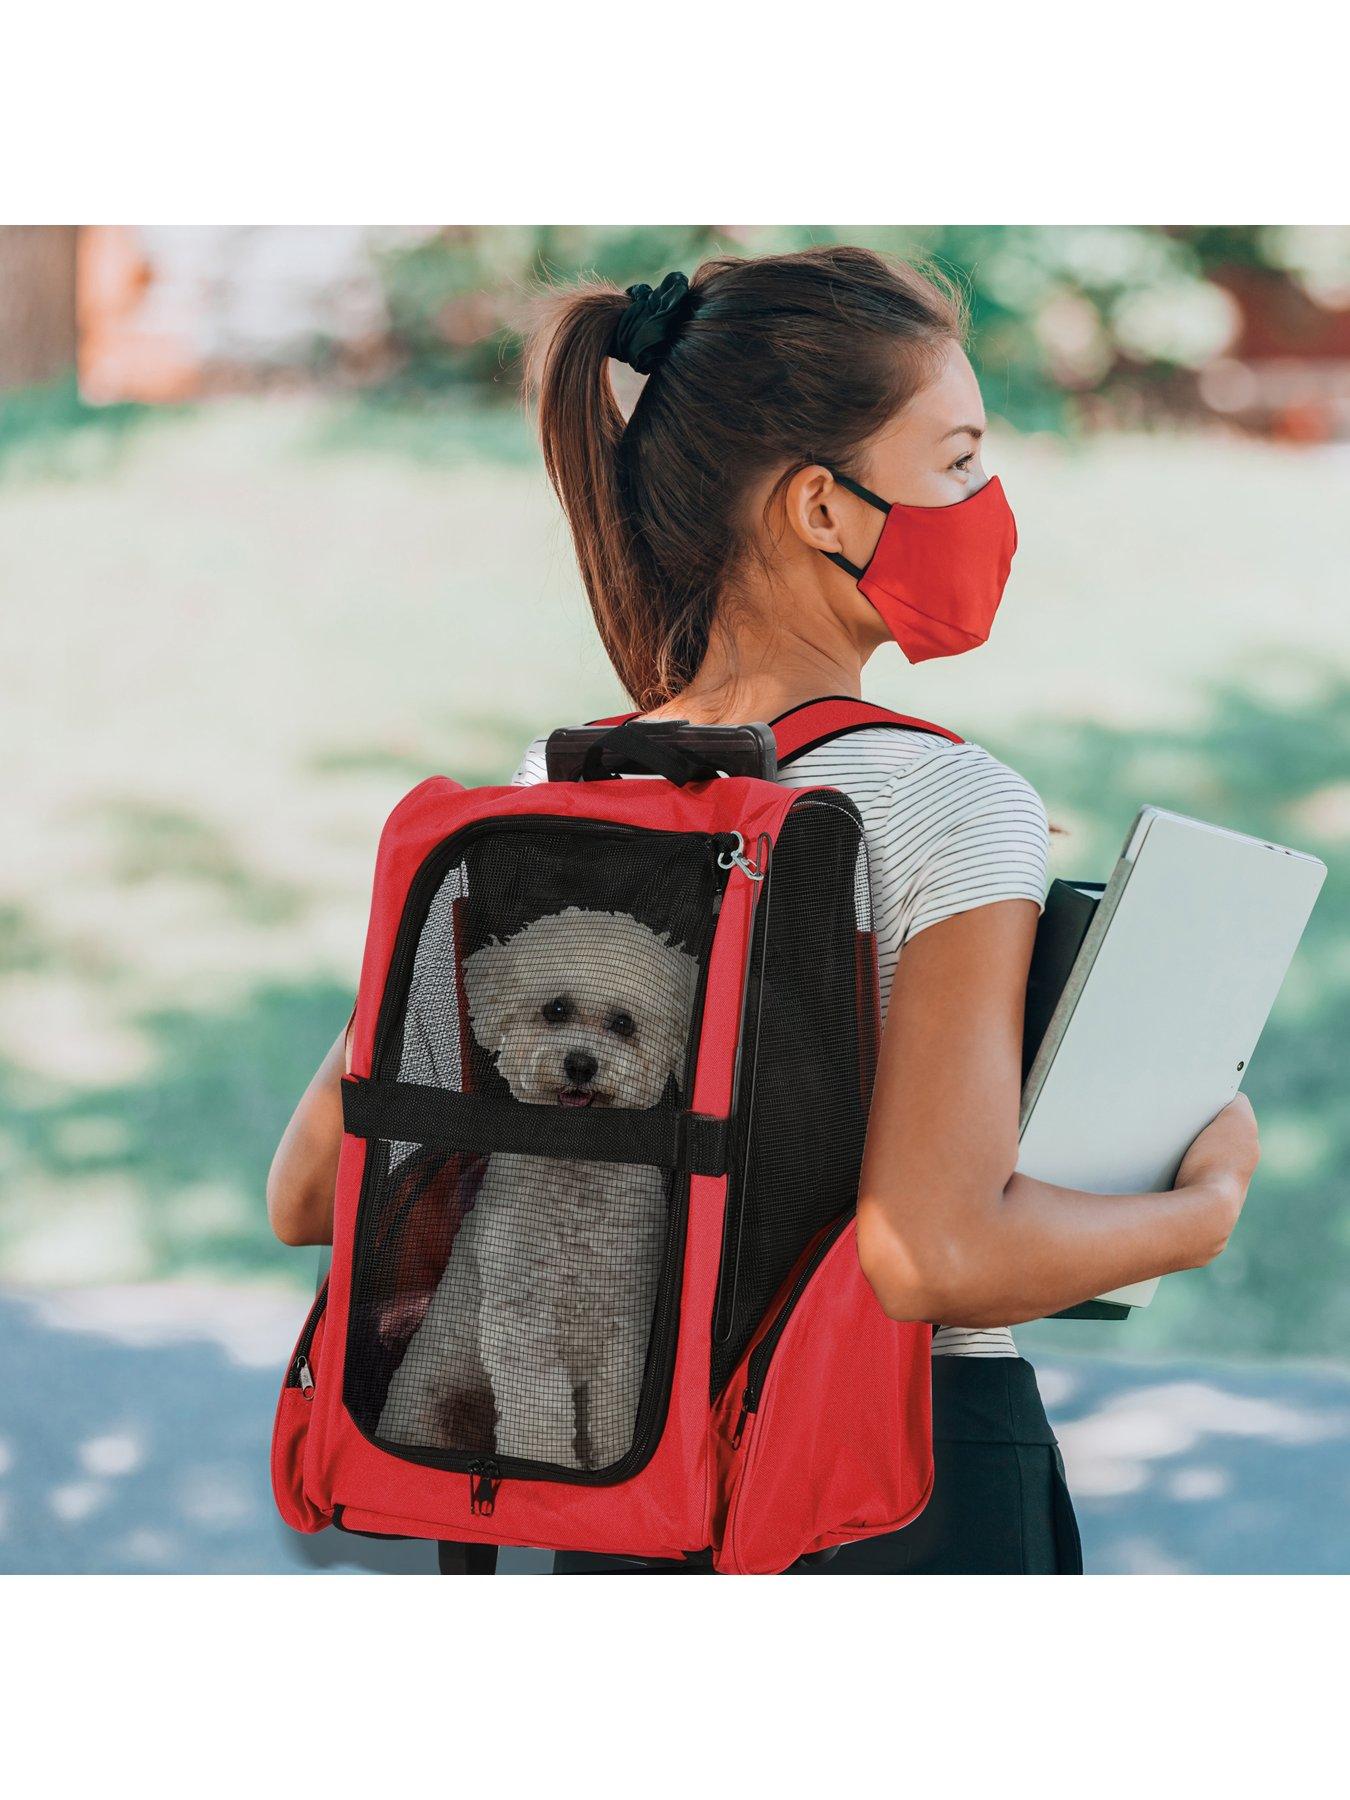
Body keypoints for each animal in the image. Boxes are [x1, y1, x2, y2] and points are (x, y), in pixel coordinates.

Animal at [378, 907, 698, 1468]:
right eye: (556, 1009)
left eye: (623, 1023)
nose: (581, 1064)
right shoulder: (525, 1326)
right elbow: (542, 1422)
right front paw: (548, 1470)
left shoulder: (623, 1325)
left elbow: (614, 1416)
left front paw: (611, 1464)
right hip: (433, 1404)